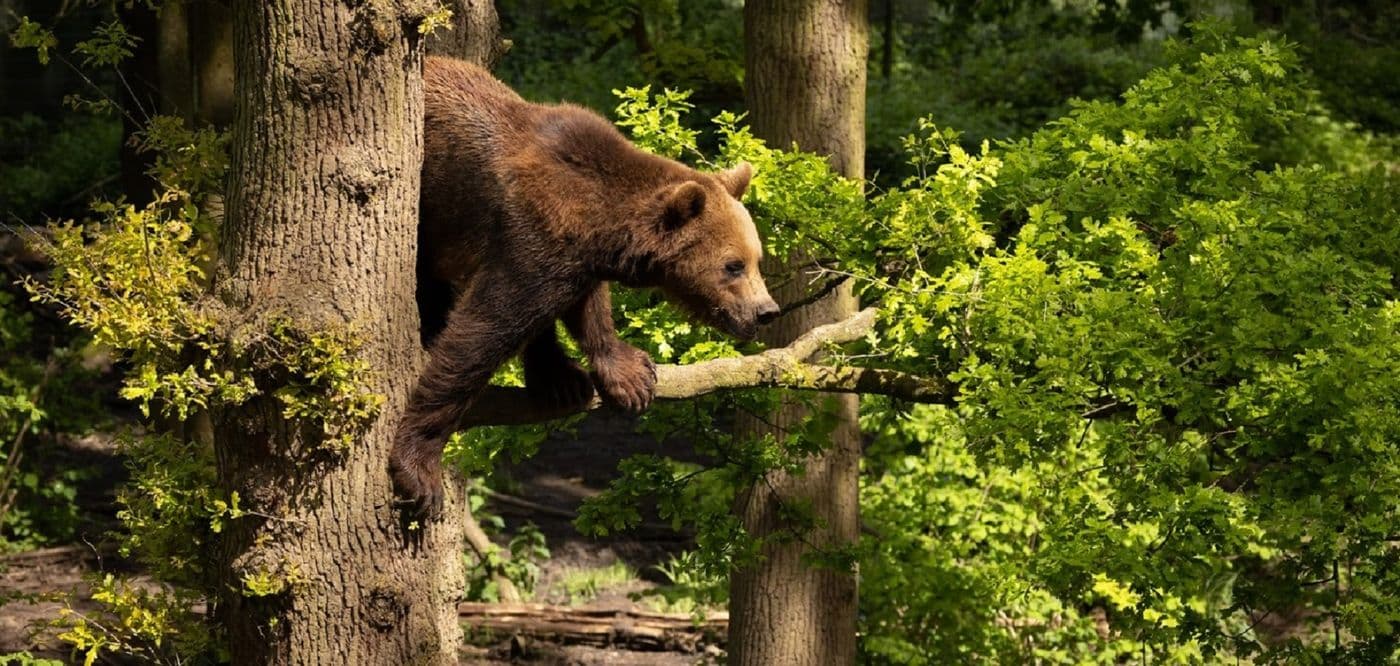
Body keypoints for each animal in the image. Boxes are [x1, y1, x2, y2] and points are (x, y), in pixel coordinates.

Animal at [390, 56, 781, 517]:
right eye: (733, 265)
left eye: (757, 259)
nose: (765, 311)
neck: (600, 222)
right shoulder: (529, 237)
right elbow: (482, 331)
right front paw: (418, 469)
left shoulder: (576, 258)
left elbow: (584, 308)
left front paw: (614, 376)